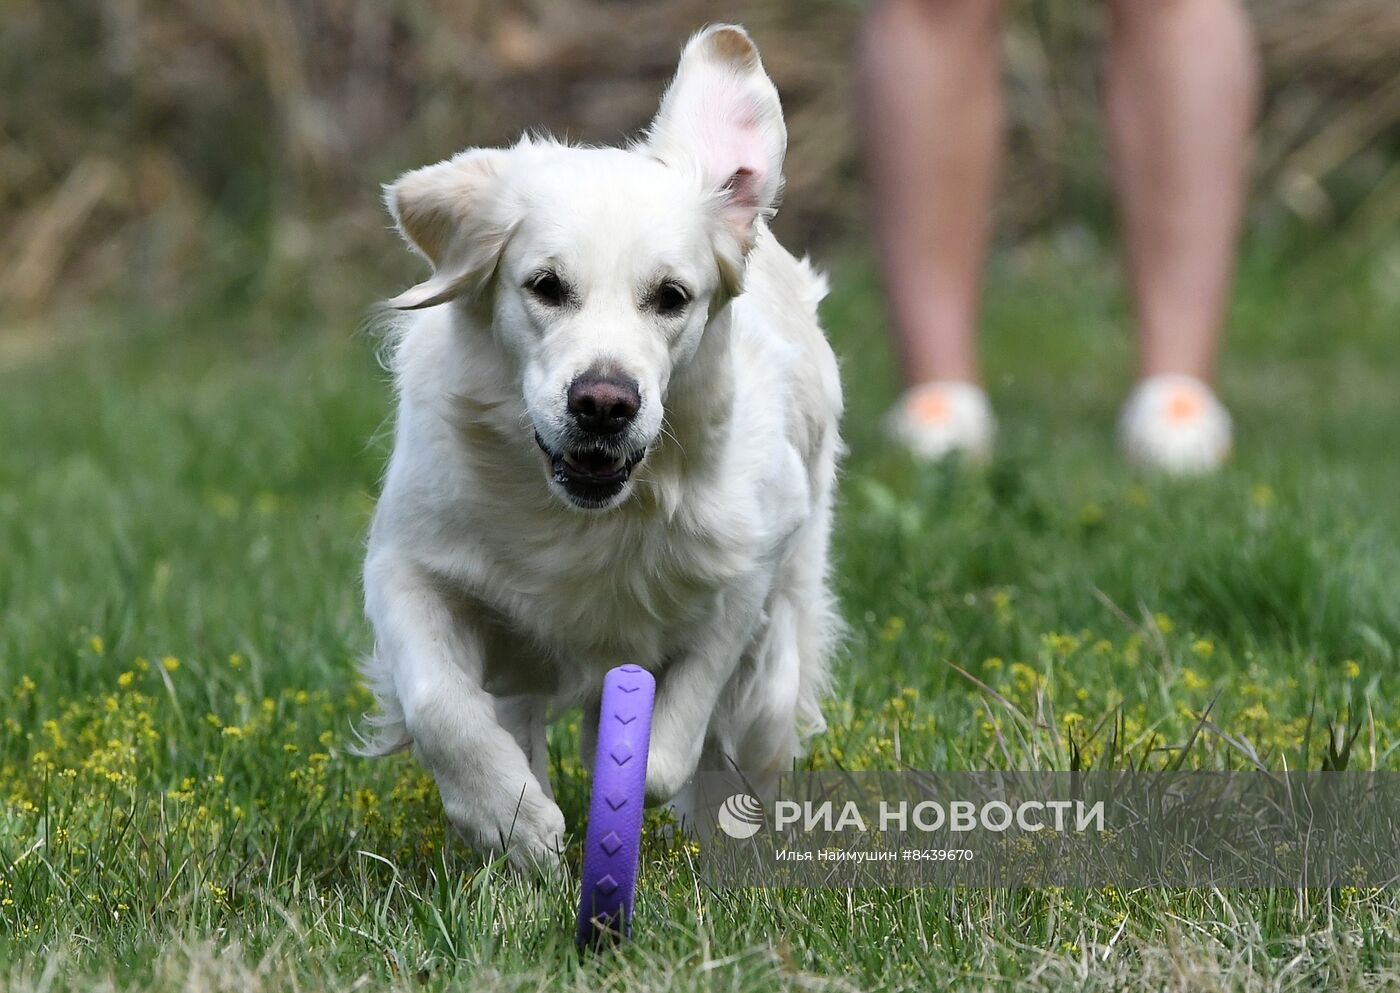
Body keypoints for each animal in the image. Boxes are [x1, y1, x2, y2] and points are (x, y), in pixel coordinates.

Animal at [361, 25, 840, 868]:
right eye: (546, 286)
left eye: (672, 297)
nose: (605, 403)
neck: (583, 515)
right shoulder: (406, 558)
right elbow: (438, 702)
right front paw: (509, 814)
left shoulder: (747, 563)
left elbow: (673, 738)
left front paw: (620, 769)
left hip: (783, 636)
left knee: (754, 729)